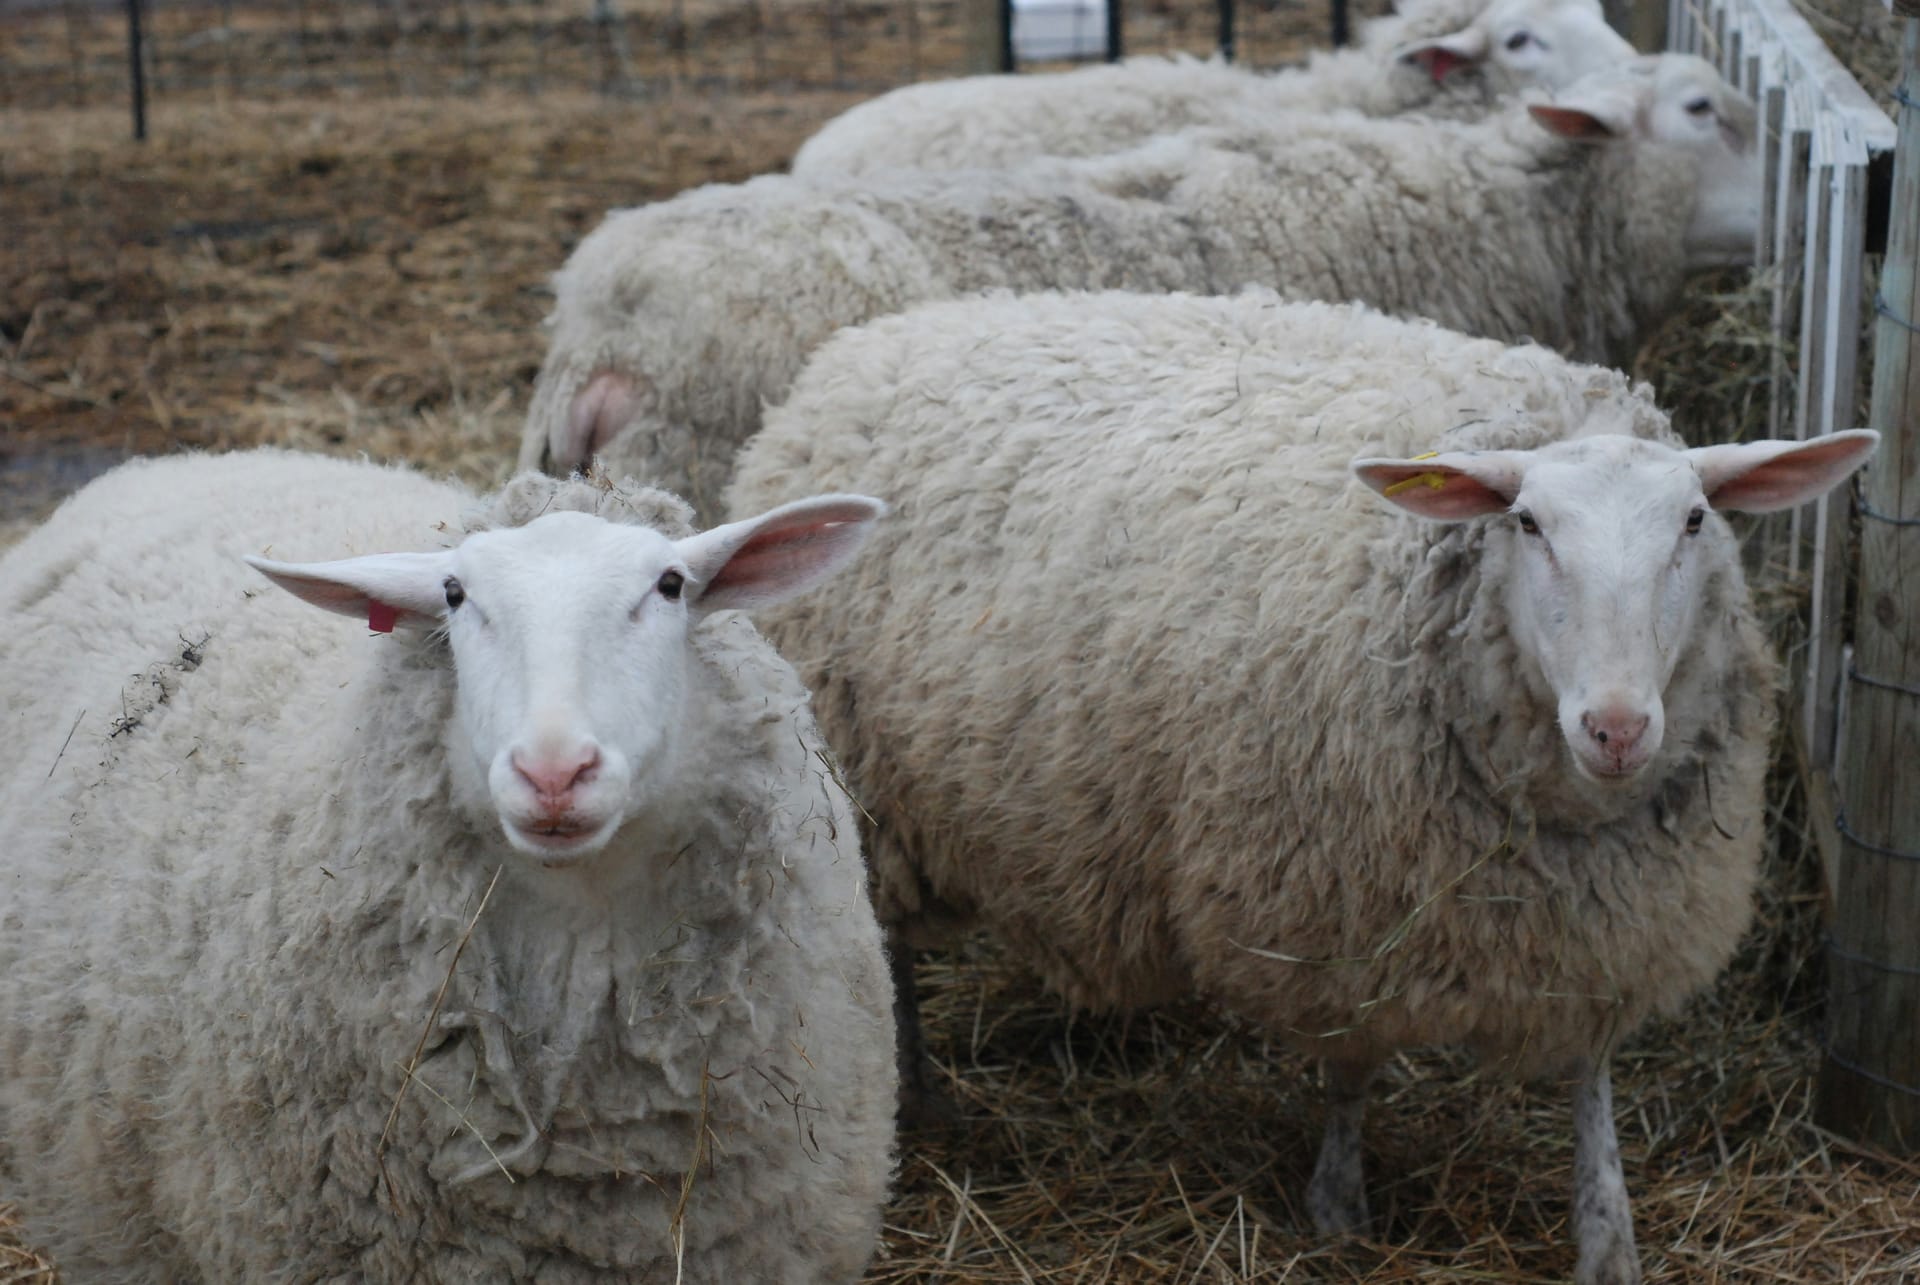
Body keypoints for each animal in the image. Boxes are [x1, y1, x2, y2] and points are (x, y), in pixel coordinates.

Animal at [722, 289, 1880, 1285]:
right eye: (1528, 524)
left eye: (1694, 521)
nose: (1618, 725)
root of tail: (869, 342)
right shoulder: (1336, 911)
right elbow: (1353, 1070)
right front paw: (1338, 1210)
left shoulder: (1611, 918)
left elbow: (1593, 1074)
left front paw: (1608, 1229)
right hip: (866, 792)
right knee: (891, 954)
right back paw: (918, 1093)